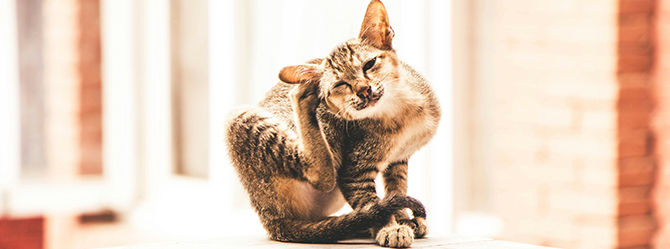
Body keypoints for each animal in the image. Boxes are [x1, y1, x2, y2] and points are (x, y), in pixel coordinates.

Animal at [226, 0, 444, 247]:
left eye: (369, 64)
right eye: (340, 84)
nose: (363, 90)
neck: (401, 113)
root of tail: (270, 219)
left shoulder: (398, 160)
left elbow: (395, 190)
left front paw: (401, 218)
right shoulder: (354, 172)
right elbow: (369, 200)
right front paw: (390, 227)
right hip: (240, 118)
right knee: (323, 175)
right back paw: (303, 95)